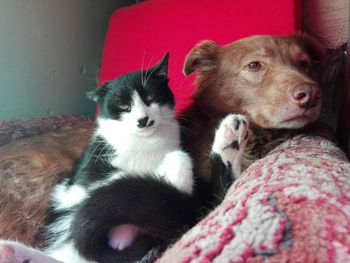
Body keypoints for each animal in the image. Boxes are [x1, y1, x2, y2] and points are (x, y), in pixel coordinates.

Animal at [0, 53, 198, 263]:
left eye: (150, 97)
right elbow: (118, 178)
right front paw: (121, 234)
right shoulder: (89, 168)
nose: (143, 120)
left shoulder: (174, 146)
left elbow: (178, 158)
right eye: (123, 106)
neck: (145, 141)